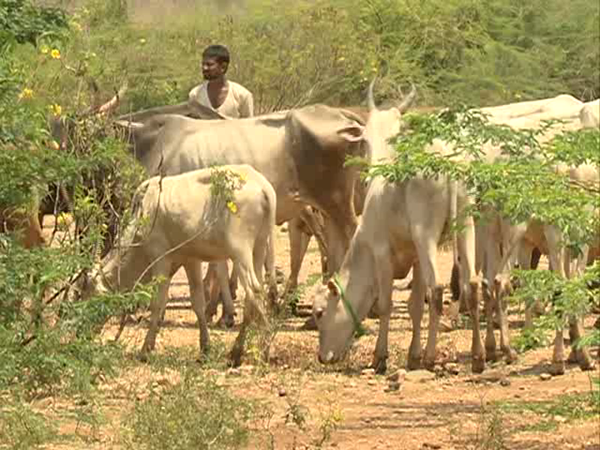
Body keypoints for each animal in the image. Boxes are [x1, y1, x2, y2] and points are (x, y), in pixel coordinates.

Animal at [79, 164, 277, 366]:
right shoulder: (190, 260)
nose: (81, 333)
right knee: (255, 295)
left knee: (254, 291)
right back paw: (237, 351)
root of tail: (263, 187)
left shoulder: (160, 258)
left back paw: (260, 350)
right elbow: (197, 302)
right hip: (259, 247)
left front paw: (145, 349)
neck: (143, 215)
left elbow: (158, 302)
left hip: (240, 251)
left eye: (82, 294)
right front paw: (205, 348)